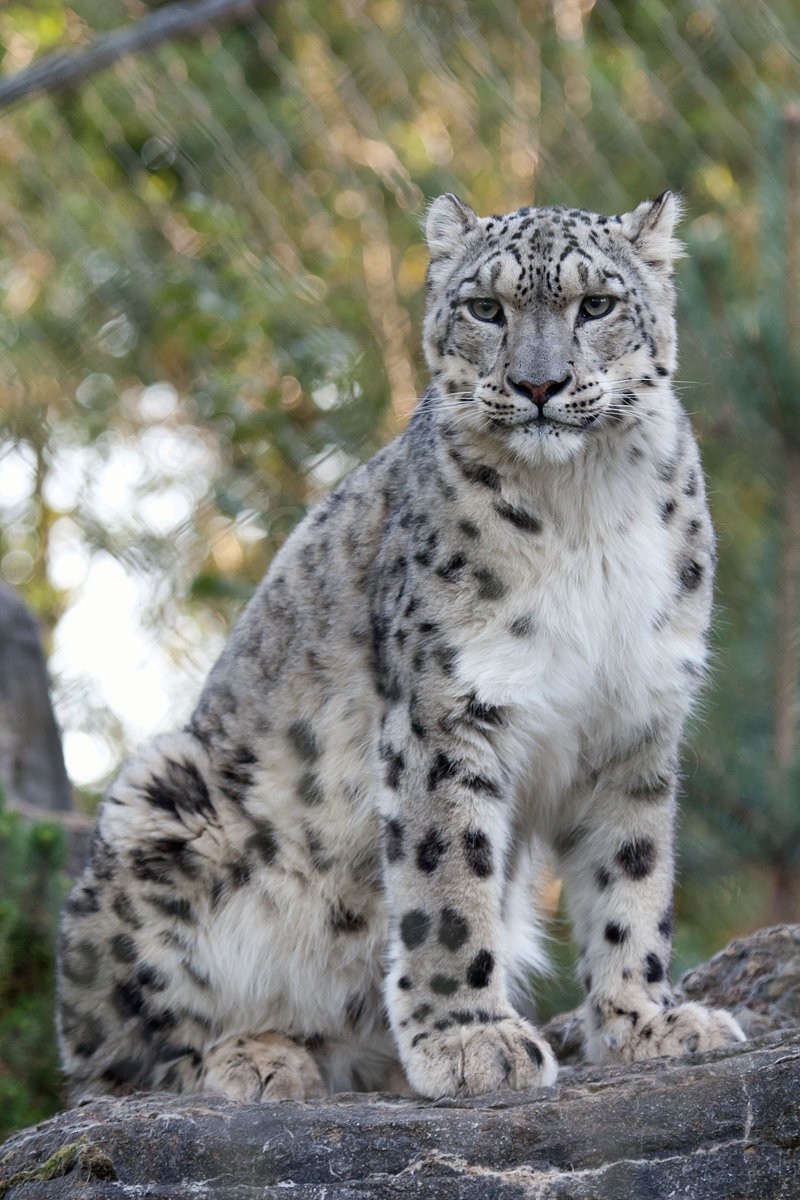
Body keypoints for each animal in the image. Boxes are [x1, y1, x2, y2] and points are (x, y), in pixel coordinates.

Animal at [57, 191, 745, 1104]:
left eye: (596, 304)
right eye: (484, 308)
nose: (538, 384)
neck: (584, 507)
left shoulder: (638, 720)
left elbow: (631, 880)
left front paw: (649, 1023)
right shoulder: (446, 709)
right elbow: (446, 882)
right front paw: (473, 1040)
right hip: (159, 797)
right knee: (114, 1055)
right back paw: (256, 1057)